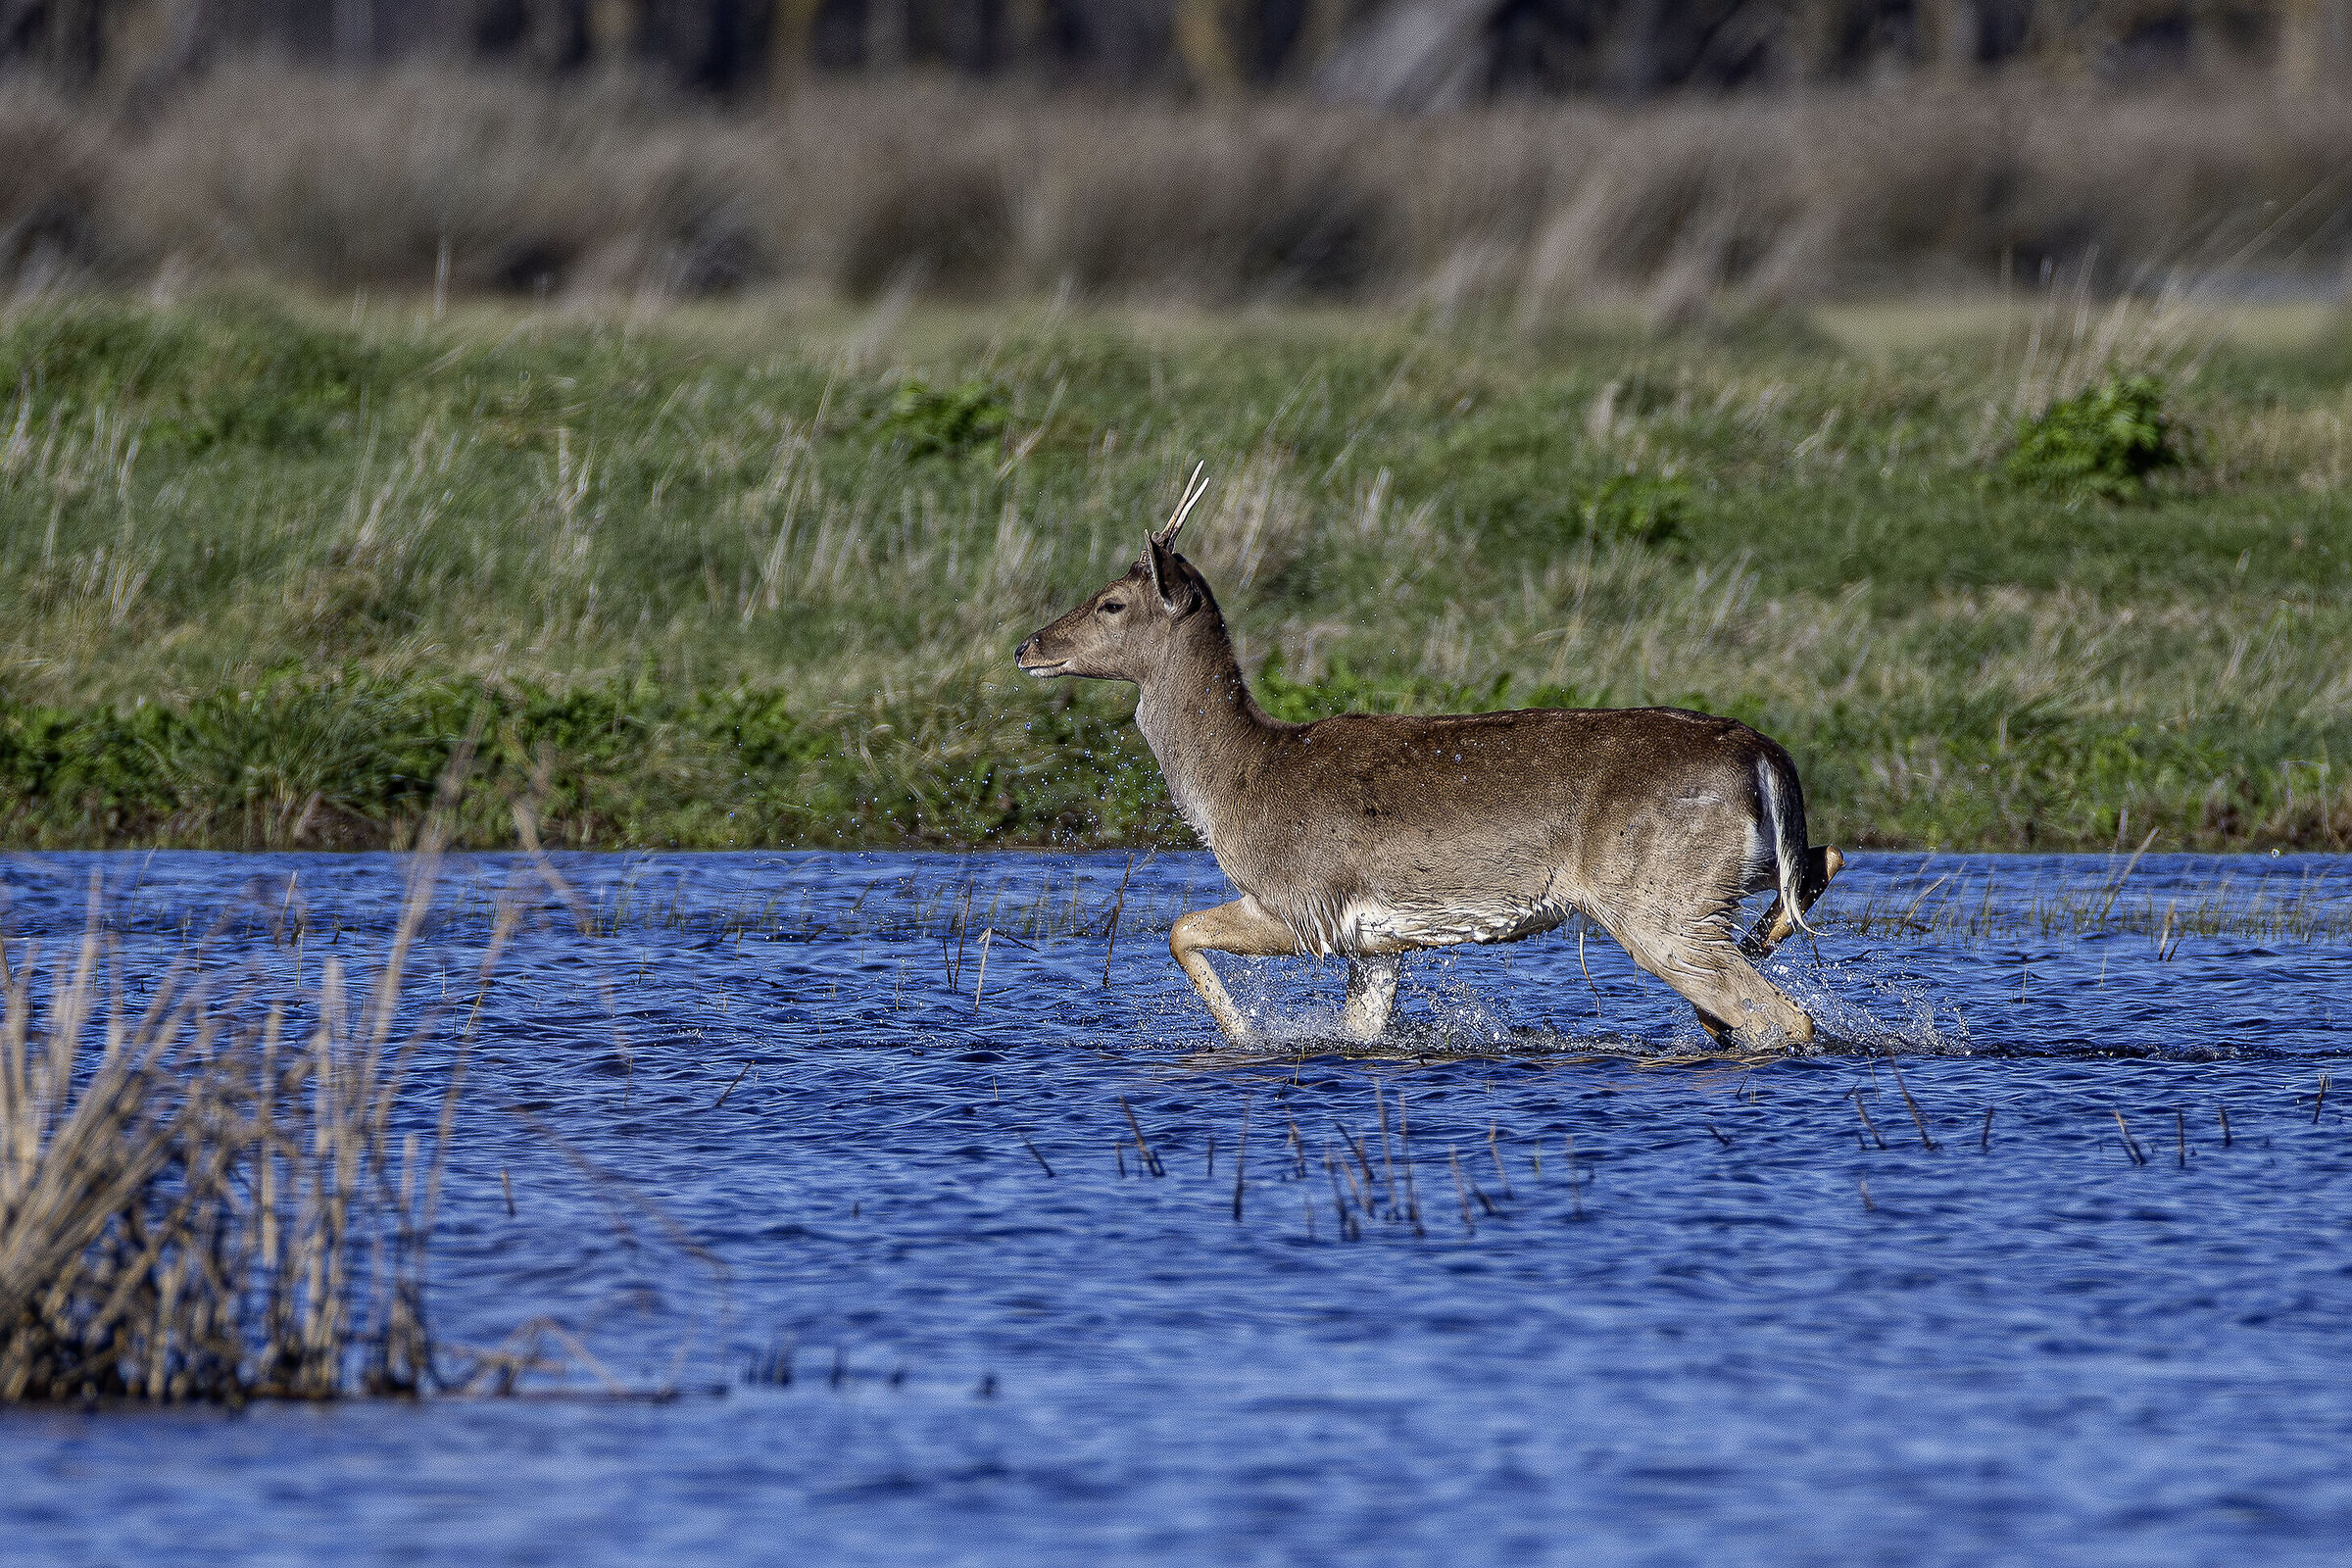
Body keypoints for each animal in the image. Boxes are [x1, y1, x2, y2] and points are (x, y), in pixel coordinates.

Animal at [1014, 468, 1844, 1048]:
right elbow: (1358, 1027)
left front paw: (1247, 1034)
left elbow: (1179, 928)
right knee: (1821, 861)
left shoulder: (1305, 900)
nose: (1027, 646)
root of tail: (1762, 751)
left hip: (1656, 897)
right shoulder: (1376, 942)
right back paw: (1751, 961)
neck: (1237, 783)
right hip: (1722, 870)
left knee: (1779, 1013)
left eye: (1112, 602)